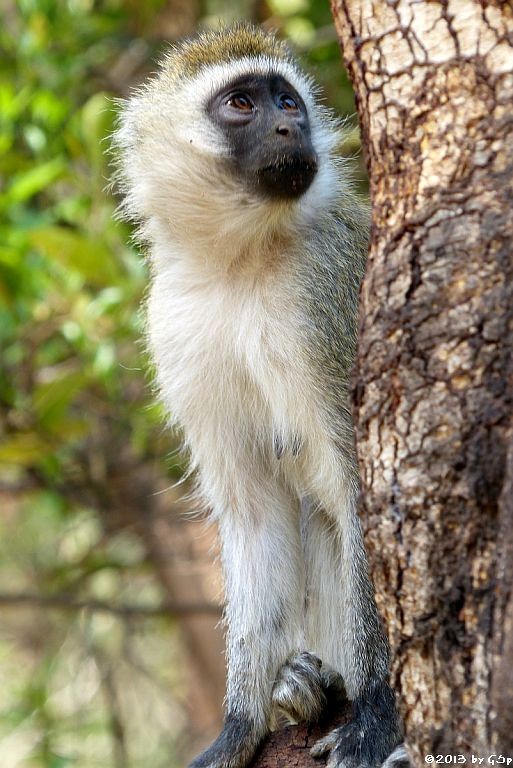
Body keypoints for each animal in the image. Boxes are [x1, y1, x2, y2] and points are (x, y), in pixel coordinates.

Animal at [114, 21, 406, 768]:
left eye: (288, 100)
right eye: (241, 103)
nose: (288, 127)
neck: (239, 261)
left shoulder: (329, 299)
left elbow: (363, 483)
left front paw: (378, 715)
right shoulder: (173, 325)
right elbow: (252, 510)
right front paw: (238, 726)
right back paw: (308, 689)